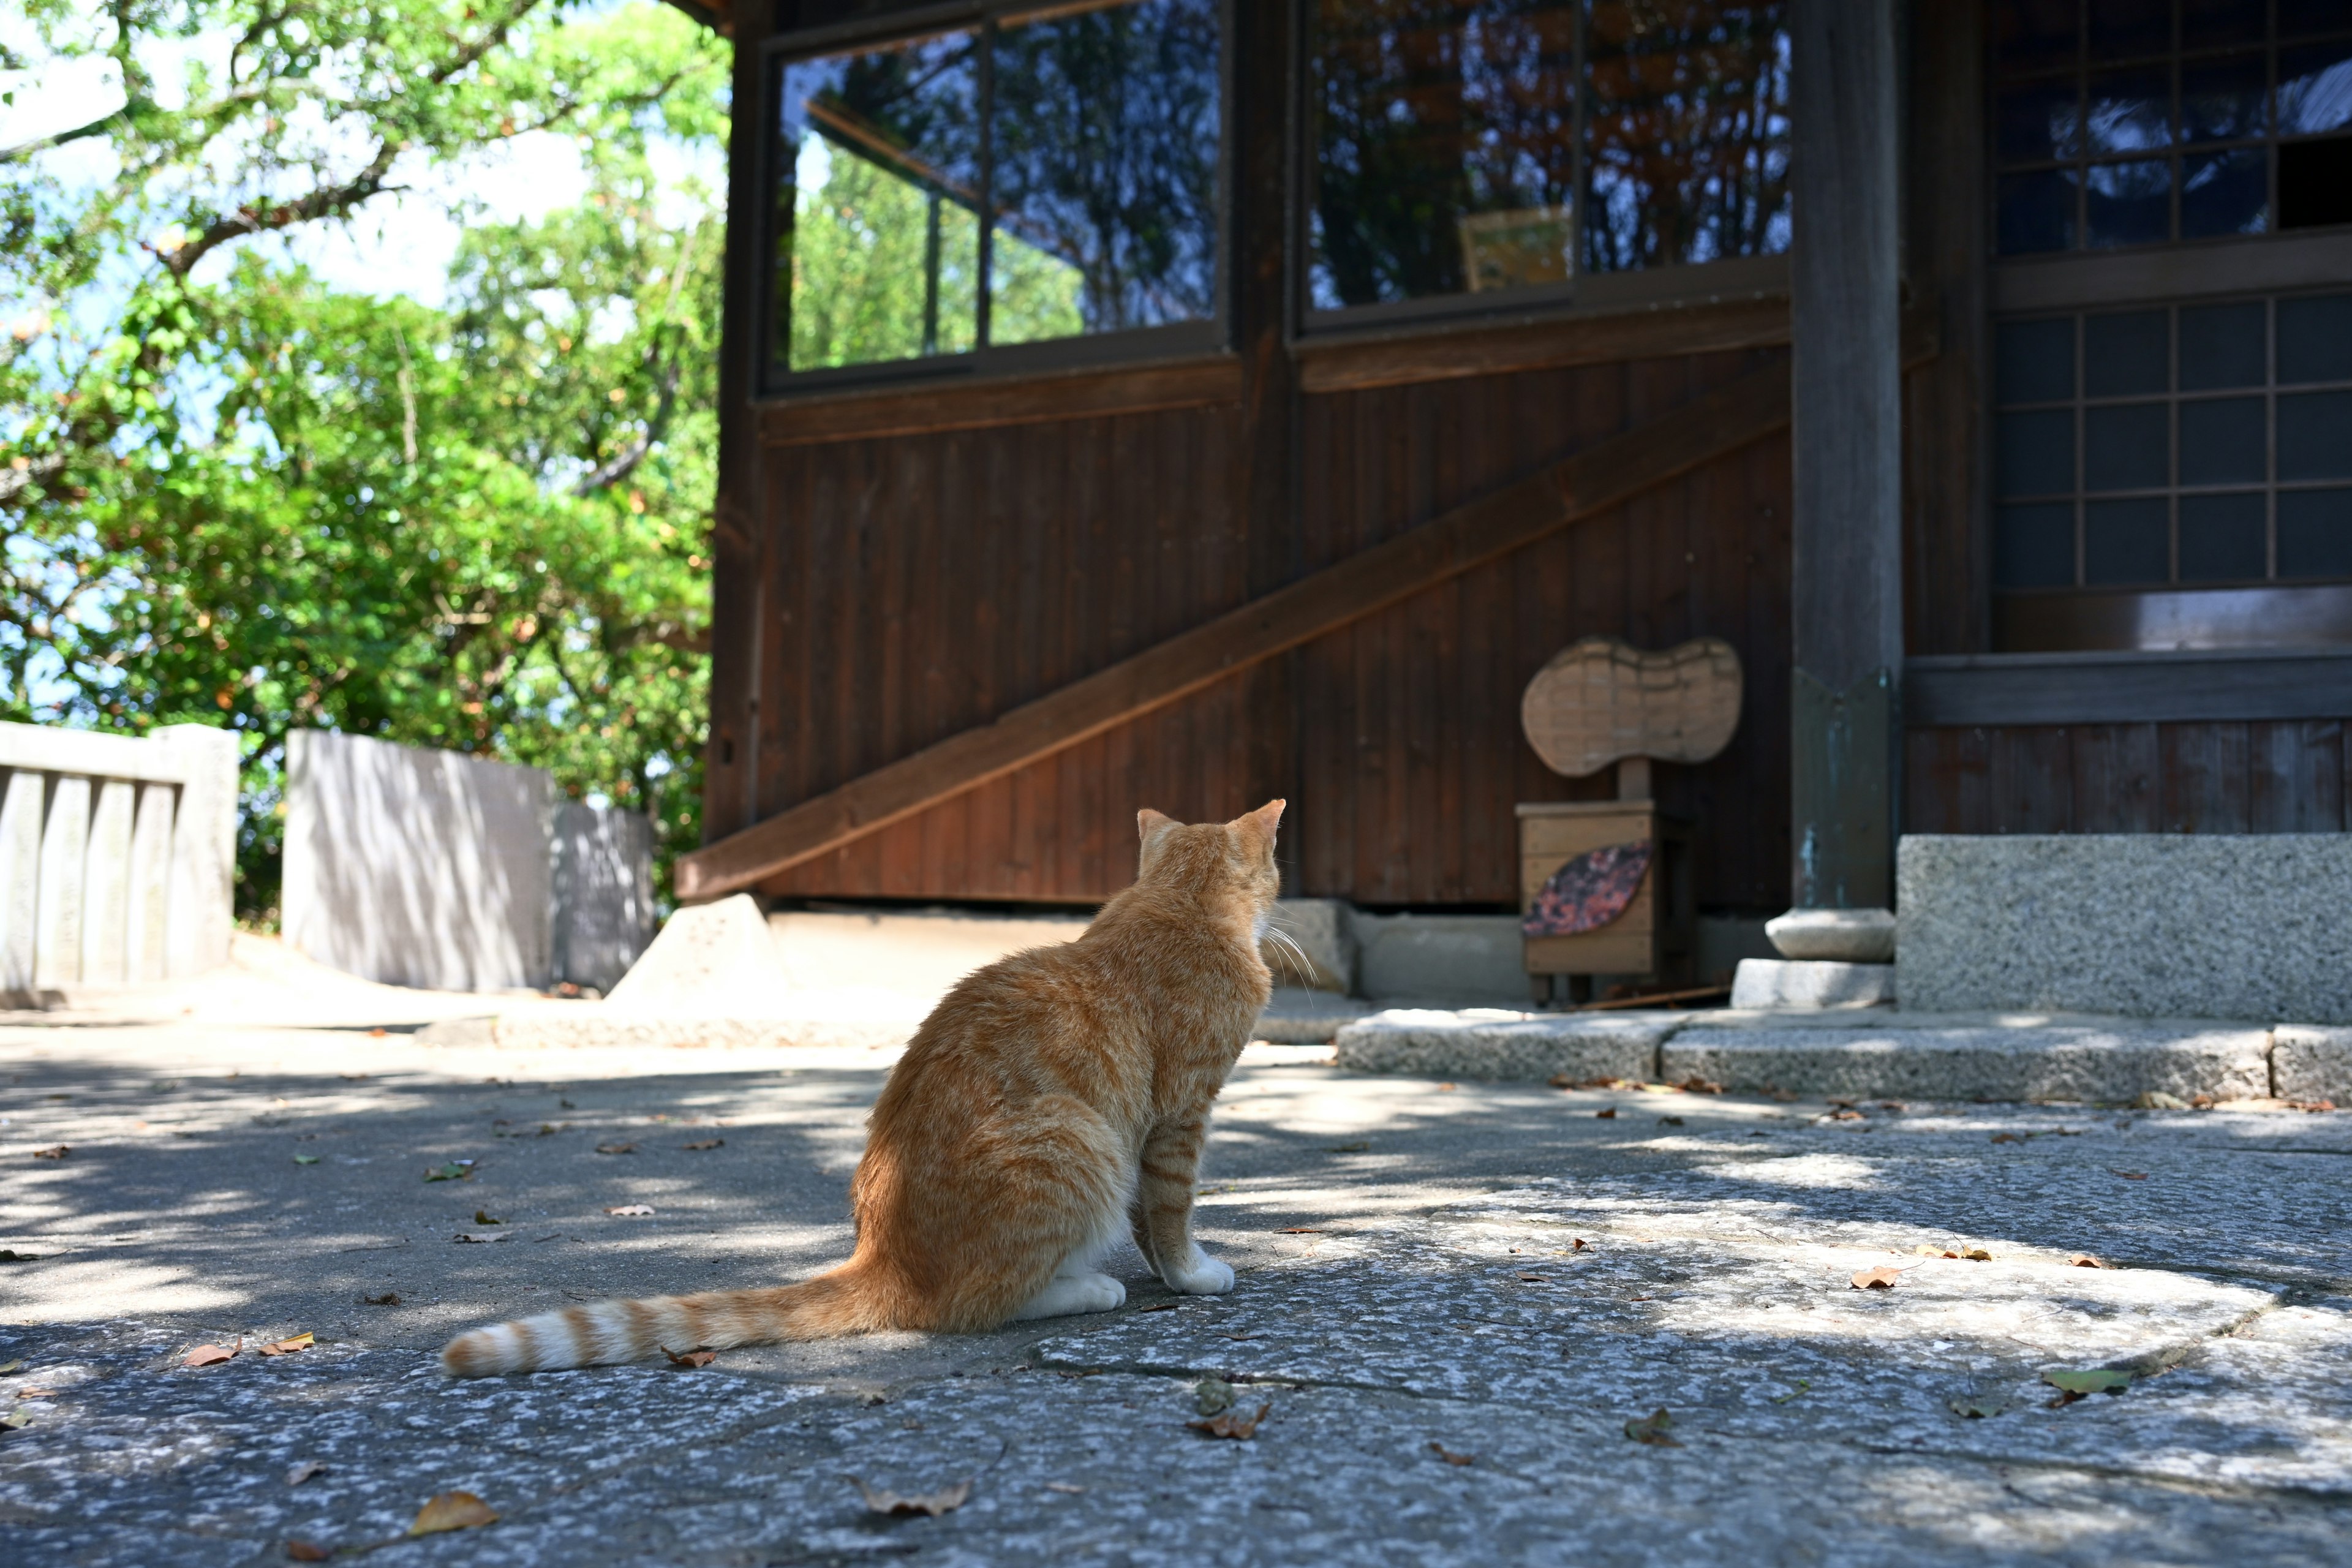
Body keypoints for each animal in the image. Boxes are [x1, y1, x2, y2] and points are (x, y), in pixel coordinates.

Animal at [442, 799, 1289, 1373]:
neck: (1175, 902)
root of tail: (884, 1256)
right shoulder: (1178, 1117)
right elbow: (1170, 1213)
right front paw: (1190, 1275)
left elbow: (1150, 1219)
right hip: (1081, 1140)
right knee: (973, 1306)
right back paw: (1082, 1289)